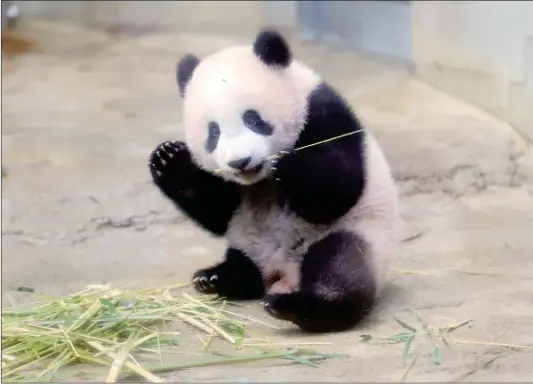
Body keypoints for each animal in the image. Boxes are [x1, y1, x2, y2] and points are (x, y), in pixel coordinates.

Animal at [148, 29, 396, 332]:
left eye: (252, 118)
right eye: (213, 132)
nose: (240, 162)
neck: (259, 181)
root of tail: (280, 274)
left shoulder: (324, 115)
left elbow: (335, 191)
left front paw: (285, 163)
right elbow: (217, 210)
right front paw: (167, 157)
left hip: (358, 233)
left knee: (340, 267)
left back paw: (295, 306)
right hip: (247, 244)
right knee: (244, 269)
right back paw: (216, 278)